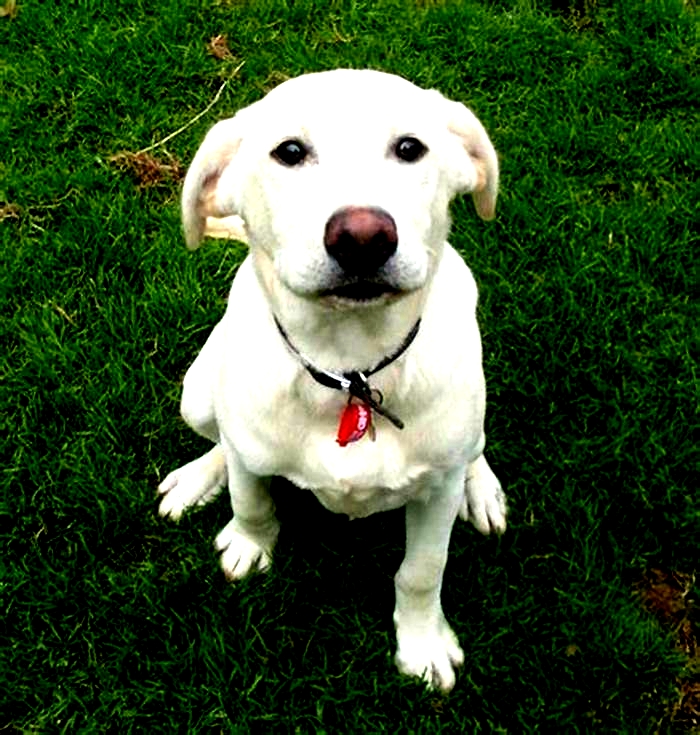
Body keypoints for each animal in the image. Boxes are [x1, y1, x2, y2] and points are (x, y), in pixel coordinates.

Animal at [158, 70, 506, 696]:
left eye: (410, 148)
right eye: (290, 152)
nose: (363, 237)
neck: (351, 370)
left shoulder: (435, 492)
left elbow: (422, 570)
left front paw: (422, 645)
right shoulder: (250, 451)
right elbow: (251, 500)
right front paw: (249, 544)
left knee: (475, 447)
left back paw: (482, 487)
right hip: (196, 392)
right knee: (223, 439)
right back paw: (197, 478)